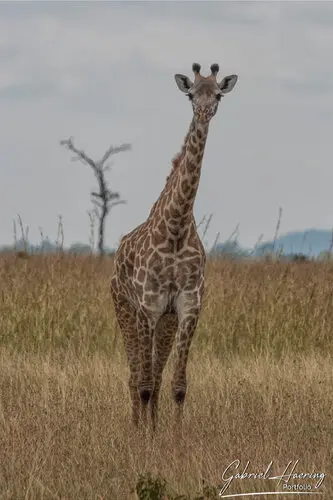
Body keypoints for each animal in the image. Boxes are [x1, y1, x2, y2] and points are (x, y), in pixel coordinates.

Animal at [110, 62, 237, 430]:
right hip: (125, 309)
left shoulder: (187, 306)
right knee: (135, 375)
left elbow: (177, 384)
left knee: (155, 374)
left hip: (164, 321)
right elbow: (143, 383)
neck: (176, 228)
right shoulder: (148, 307)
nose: (205, 113)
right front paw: (144, 438)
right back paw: (137, 427)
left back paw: (152, 426)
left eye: (218, 94)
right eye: (191, 94)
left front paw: (174, 438)